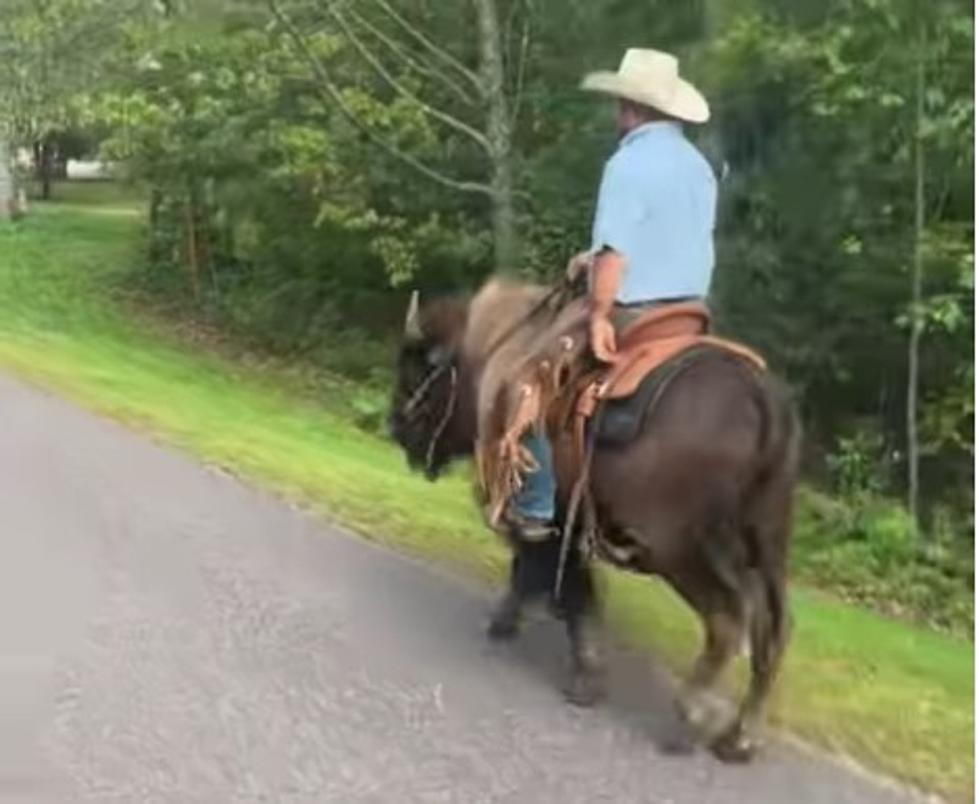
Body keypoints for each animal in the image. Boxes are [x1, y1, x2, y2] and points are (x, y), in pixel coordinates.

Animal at [386, 280, 800, 764]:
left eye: (415, 368)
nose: (395, 426)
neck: (499, 345)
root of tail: (760, 395)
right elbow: (542, 576)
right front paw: (510, 621)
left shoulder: (549, 516)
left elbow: (567, 586)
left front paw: (584, 675)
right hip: (767, 544)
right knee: (773, 628)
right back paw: (739, 738)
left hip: (678, 550)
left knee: (728, 618)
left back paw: (689, 719)